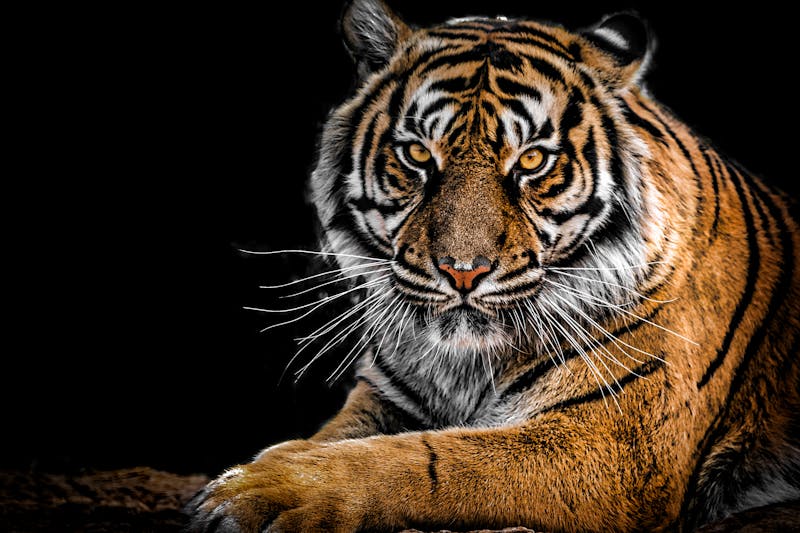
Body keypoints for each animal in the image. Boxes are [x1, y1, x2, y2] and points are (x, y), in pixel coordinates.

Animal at [186, 0, 800, 531]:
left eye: (532, 160)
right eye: (417, 154)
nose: (463, 270)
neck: (465, 365)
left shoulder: (617, 443)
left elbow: (427, 460)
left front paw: (259, 490)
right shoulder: (386, 396)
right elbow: (339, 436)